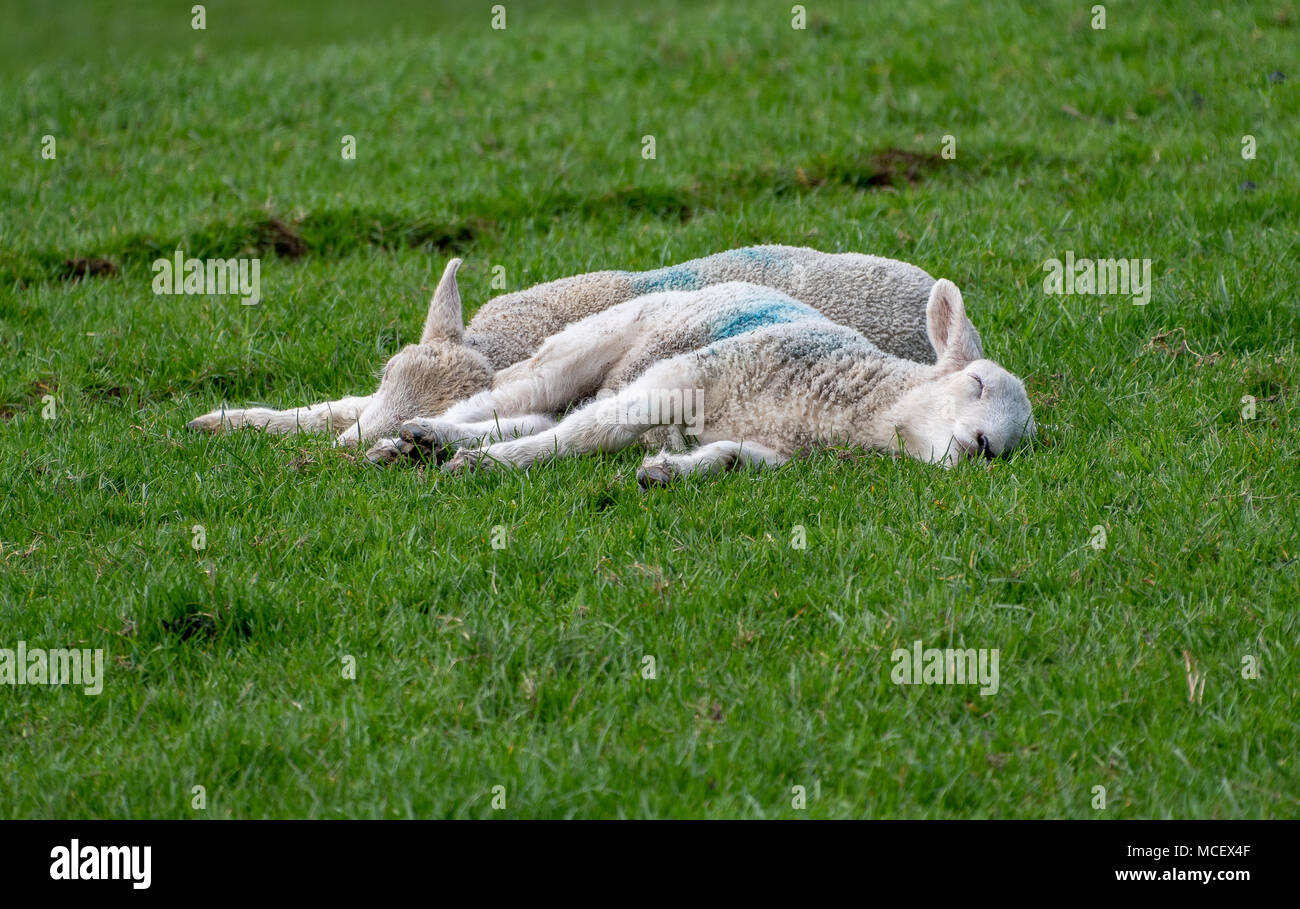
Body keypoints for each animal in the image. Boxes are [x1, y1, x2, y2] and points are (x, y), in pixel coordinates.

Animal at [411, 278, 1033, 482]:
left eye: (1014, 449)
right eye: (976, 383)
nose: (983, 446)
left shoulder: (779, 451)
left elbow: (732, 458)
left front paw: (667, 471)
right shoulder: (682, 377)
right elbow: (586, 435)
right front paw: (493, 465)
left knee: (537, 413)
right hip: (584, 349)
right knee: (513, 400)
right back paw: (422, 435)